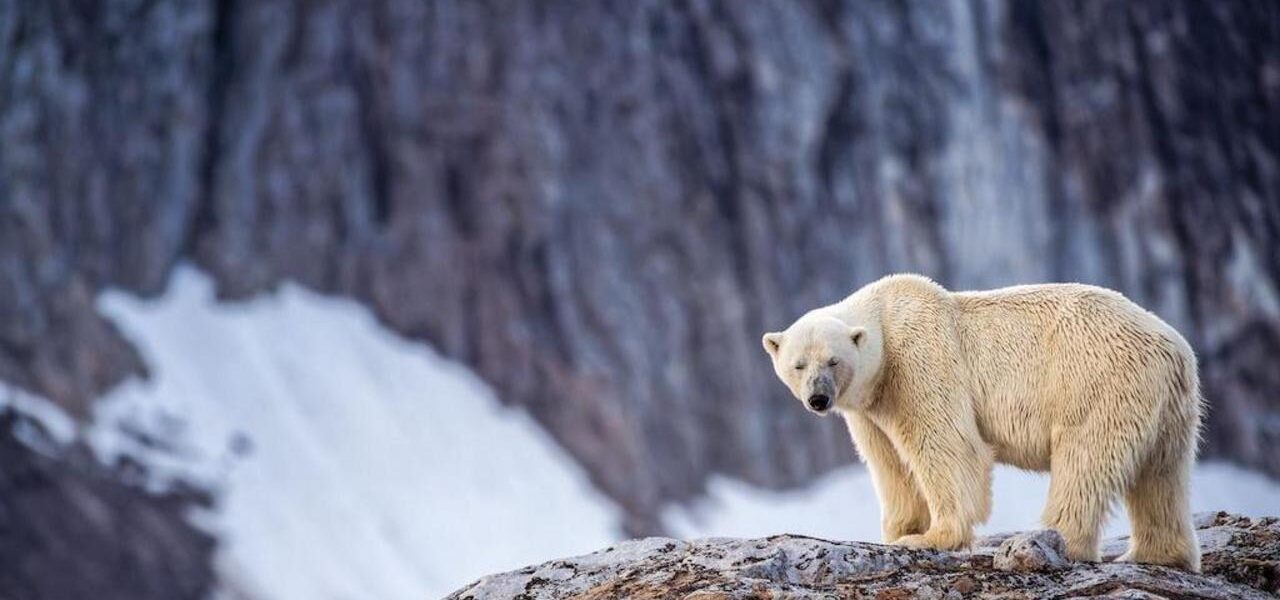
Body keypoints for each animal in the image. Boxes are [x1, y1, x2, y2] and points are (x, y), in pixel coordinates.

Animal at [761, 274, 1202, 571]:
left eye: (833, 361)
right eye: (798, 364)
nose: (819, 399)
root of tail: (1175, 349)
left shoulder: (920, 360)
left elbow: (948, 446)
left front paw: (930, 537)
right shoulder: (870, 407)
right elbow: (889, 464)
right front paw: (899, 532)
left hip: (1097, 379)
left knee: (1085, 458)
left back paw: (1052, 540)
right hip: (1169, 407)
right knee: (1161, 474)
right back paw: (1157, 554)